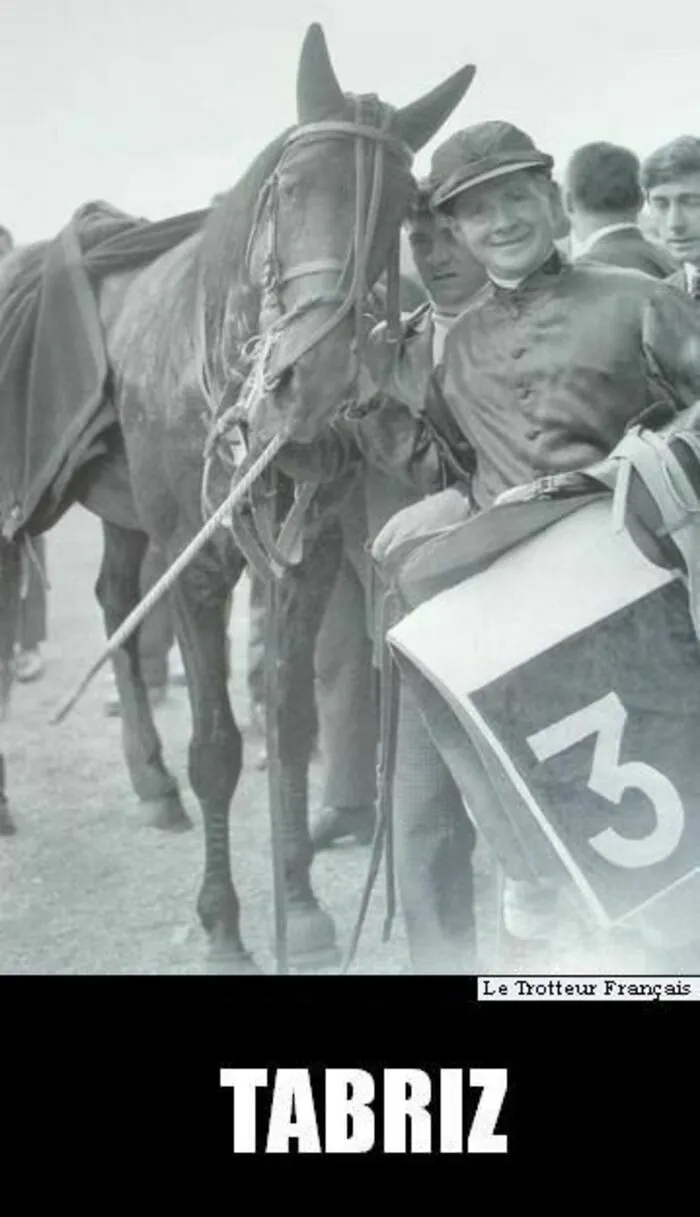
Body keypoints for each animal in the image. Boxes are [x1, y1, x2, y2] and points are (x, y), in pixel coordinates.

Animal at [0, 23, 479, 973]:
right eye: (289, 189)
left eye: (397, 211)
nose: (312, 378)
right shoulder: (198, 564)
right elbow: (220, 744)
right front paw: (223, 924)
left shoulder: (308, 556)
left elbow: (290, 724)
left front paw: (297, 903)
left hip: (126, 516)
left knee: (115, 598)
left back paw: (151, 779)